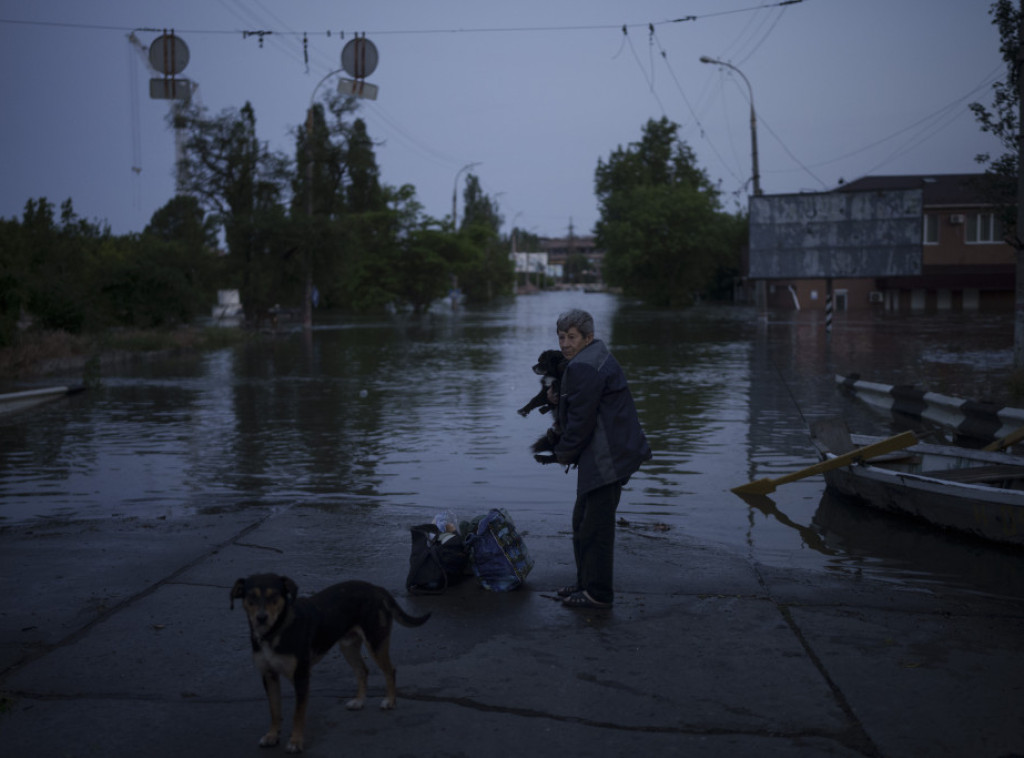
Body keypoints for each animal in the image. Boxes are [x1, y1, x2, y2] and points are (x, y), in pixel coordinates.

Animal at [230, 573, 430, 753]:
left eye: (274, 596)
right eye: (251, 597)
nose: (261, 617)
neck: (274, 632)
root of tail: (376, 588)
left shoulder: (301, 677)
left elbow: (297, 714)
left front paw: (295, 741)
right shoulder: (269, 675)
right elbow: (274, 709)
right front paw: (272, 735)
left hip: (375, 642)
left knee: (390, 670)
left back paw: (390, 701)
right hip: (348, 646)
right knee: (362, 671)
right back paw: (359, 701)